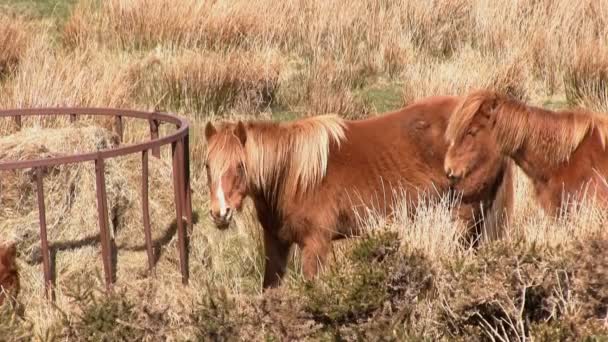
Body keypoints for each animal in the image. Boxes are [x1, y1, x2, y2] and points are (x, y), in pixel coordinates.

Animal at [204, 95, 512, 288]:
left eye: (240, 166)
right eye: (207, 165)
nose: (220, 213)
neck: (294, 174)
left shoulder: (316, 245)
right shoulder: (276, 244)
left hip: (463, 216)